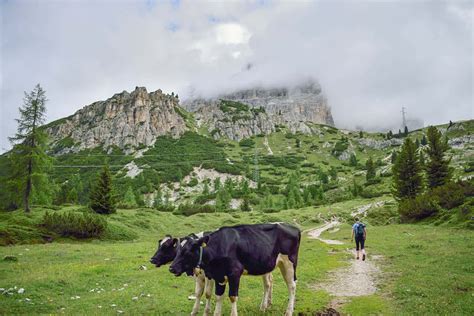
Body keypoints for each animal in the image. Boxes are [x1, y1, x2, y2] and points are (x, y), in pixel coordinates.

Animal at [168, 223, 300, 314]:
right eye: (177, 250)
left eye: (187, 252)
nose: (171, 268)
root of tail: (294, 227)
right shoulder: (218, 275)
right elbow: (218, 296)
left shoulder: (234, 273)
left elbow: (232, 297)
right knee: (268, 284)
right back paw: (263, 308)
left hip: (289, 264)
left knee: (292, 286)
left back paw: (289, 311)